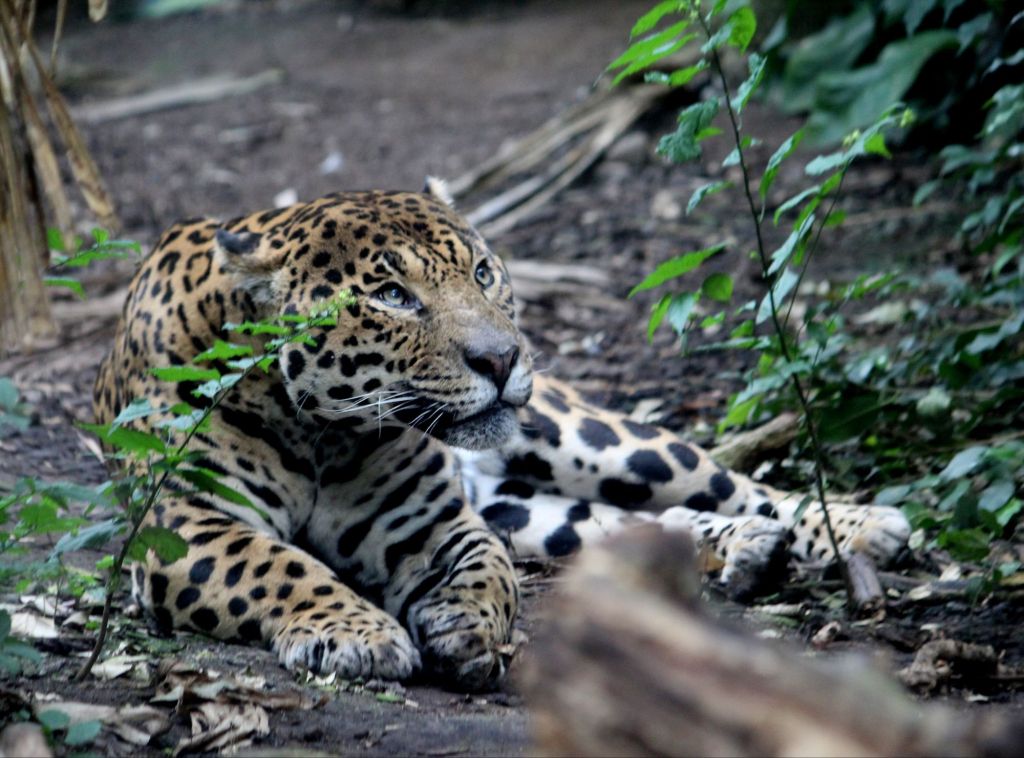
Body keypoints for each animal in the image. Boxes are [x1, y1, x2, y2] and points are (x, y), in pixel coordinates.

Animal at [93, 179, 910, 691]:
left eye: (483, 272)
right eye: (392, 296)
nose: (503, 357)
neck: (323, 431)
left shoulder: (435, 523)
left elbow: (490, 574)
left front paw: (467, 629)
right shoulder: (185, 525)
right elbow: (275, 565)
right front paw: (358, 633)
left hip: (587, 436)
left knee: (721, 481)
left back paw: (856, 526)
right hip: (526, 509)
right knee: (621, 526)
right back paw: (738, 548)